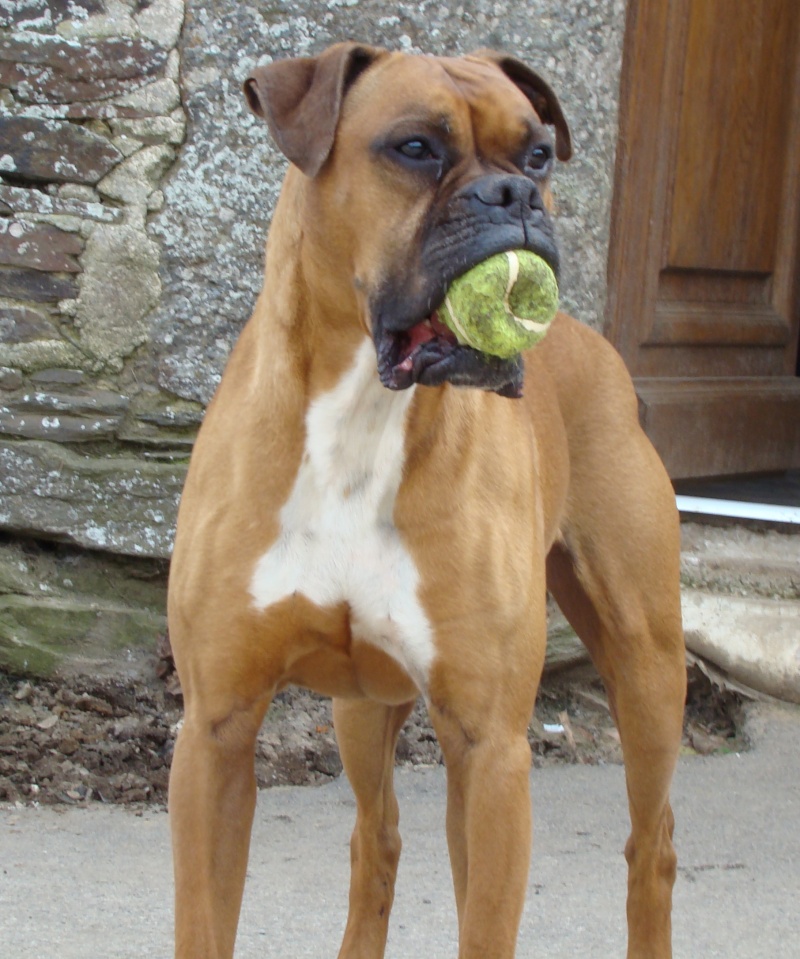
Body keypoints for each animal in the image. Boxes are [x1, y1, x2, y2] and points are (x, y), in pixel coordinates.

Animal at [167, 43, 680, 959]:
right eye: (413, 148)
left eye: (538, 154)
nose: (515, 196)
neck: (364, 412)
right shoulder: (216, 733)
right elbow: (205, 920)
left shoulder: (493, 747)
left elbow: (487, 924)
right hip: (361, 711)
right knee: (378, 837)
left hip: (647, 671)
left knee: (650, 845)